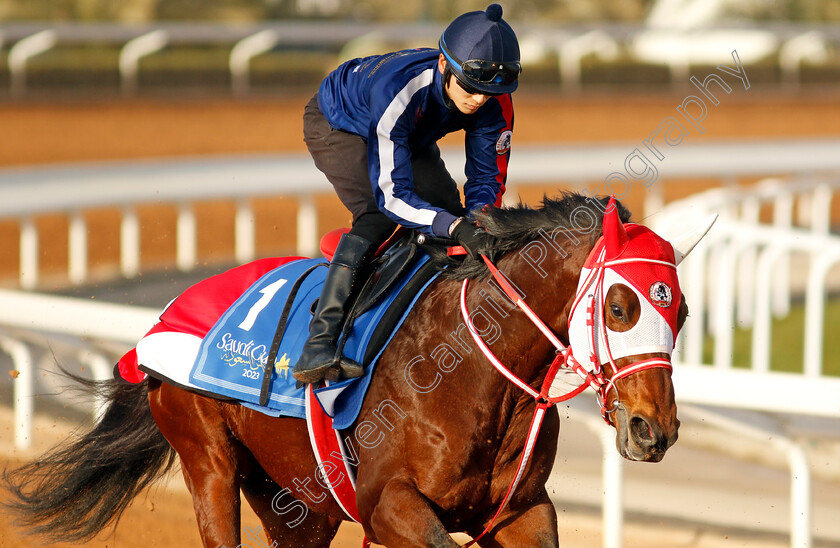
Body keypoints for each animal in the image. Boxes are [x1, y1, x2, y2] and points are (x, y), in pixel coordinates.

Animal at [3, 194, 708, 548]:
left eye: (682, 310)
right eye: (620, 305)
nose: (655, 430)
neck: (473, 376)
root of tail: (157, 331)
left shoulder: (524, 511)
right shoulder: (387, 503)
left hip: (294, 504)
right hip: (209, 461)